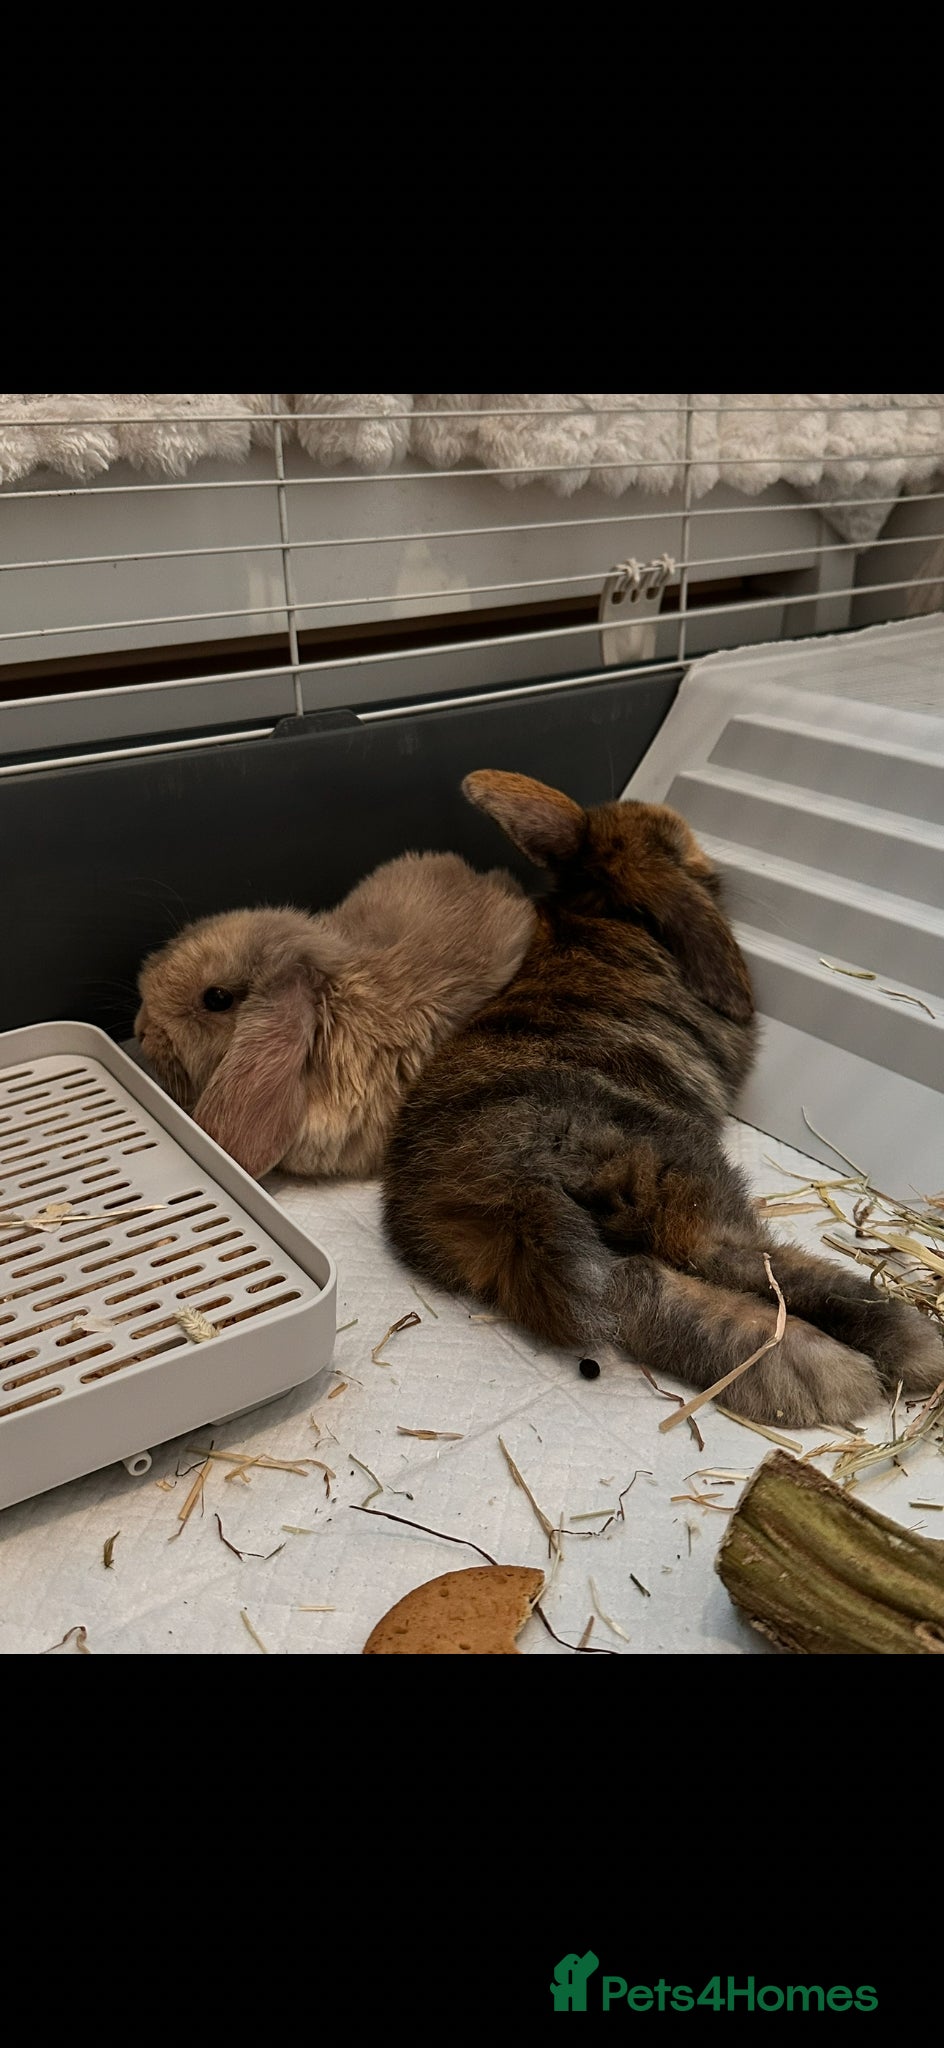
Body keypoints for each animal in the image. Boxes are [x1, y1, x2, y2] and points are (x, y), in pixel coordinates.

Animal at [382, 773, 943, 1428]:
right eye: (674, 842)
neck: (603, 907)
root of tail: (513, 1190)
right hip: (687, 1188)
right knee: (744, 1262)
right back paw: (876, 1353)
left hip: (613, 1255)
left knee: (644, 1290)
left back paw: (815, 1367)